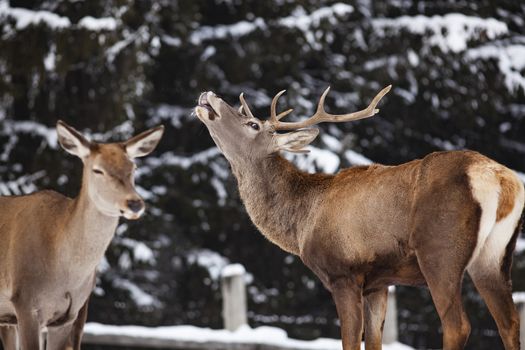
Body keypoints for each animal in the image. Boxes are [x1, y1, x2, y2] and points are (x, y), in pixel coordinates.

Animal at [195, 87, 524, 350]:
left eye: (252, 124)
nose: (209, 95)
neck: (301, 223)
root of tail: (501, 179)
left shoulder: (344, 273)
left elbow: (350, 342)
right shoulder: (379, 282)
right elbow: (374, 342)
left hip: (440, 251)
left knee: (458, 325)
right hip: (493, 256)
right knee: (509, 323)